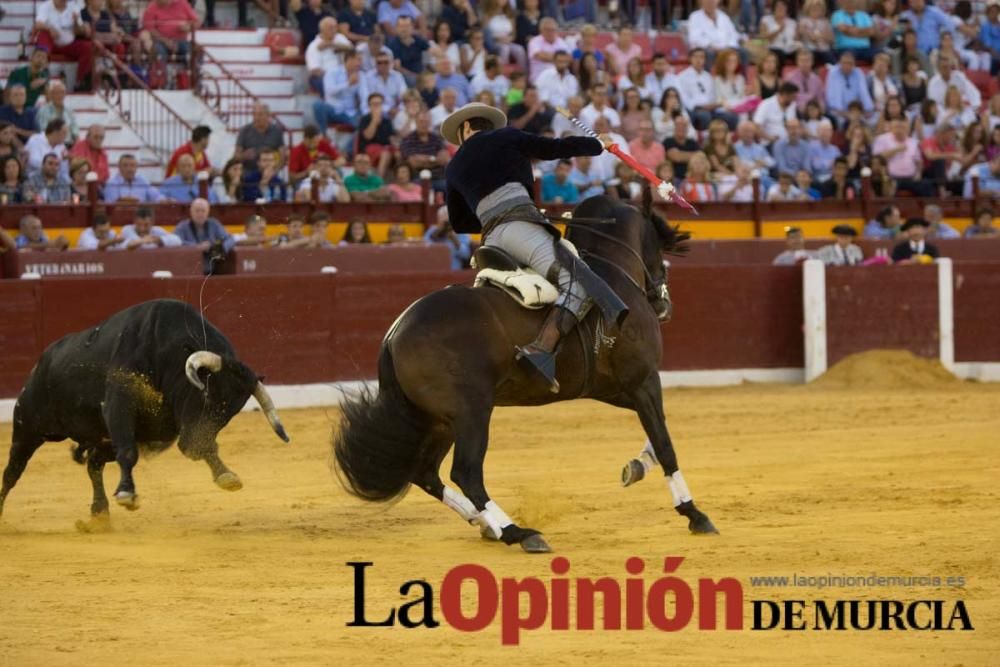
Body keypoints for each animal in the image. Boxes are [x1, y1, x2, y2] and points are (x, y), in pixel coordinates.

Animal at [0, 298, 290, 520]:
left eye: (231, 412)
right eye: (207, 395)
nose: (194, 448)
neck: (165, 353)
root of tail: (42, 360)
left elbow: (201, 445)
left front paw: (225, 475)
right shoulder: (119, 406)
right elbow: (129, 453)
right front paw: (127, 494)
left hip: (102, 438)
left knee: (93, 465)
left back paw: (99, 513)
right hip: (28, 427)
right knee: (12, 471)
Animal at [332, 193, 716, 552]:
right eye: (659, 246)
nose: (664, 303)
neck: (611, 274)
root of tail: (395, 332)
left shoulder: (612, 387)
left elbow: (660, 428)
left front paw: (636, 467)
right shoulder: (643, 379)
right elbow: (665, 442)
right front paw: (693, 513)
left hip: (438, 419)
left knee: (425, 471)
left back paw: (483, 522)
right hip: (471, 412)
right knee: (466, 471)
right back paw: (517, 533)